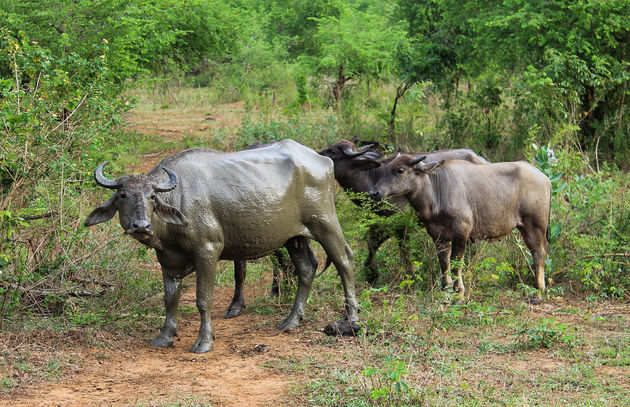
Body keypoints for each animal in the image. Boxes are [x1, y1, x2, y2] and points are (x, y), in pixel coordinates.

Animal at [84, 140, 360, 354]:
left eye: (152, 196)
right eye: (123, 195)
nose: (141, 225)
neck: (179, 198)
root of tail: (322, 160)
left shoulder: (207, 251)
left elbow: (203, 299)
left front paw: (204, 341)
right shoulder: (168, 259)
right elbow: (170, 299)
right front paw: (164, 337)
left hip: (324, 223)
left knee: (344, 260)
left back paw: (351, 320)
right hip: (294, 237)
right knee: (306, 268)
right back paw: (291, 321)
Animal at [318, 139, 492, 286]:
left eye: (332, 151)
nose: (317, 154)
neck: (372, 177)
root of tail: (482, 160)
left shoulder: (400, 221)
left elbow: (402, 249)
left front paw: (410, 276)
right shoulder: (389, 221)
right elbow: (372, 240)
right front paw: (371, 272)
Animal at [370, 155, 552, 302]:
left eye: (400, 170)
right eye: (386, 169)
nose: (374, 192)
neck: (436, 192)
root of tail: (545, 178)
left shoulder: (461, 232)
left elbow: (456, 262)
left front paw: (459, 292)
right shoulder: (438, 235)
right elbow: (444, 262)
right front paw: (445, 289)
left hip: (534, 225)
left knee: (539, 252)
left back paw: (538, 292)